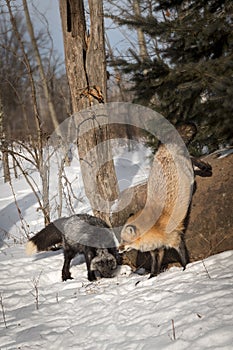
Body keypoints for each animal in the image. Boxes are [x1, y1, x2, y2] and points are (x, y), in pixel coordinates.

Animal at [119, 141, 194, 278]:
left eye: (124, 240)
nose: (118, 249)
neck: (155, 228)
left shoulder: (175, 239)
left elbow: (183, 257)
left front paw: (186, 269)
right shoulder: (157, 249)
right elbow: (155, 265)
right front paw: (152, 276)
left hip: (189, 173)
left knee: (193, 160)